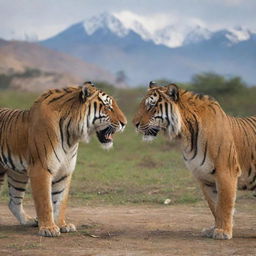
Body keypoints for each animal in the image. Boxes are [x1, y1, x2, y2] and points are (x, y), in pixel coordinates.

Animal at [0, 81, 127, 236]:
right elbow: (45, 202)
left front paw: (62, 225)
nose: (125, 123)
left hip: (17, 174)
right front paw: (48, 228)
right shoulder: (41, 169)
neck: (71, 136)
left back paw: (28, 220)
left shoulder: (65, 171)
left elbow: (60, 201)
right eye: (108, 107)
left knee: (14, 201)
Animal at [133, 81, 256, 240]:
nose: (134, 123)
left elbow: (224, 204)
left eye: (151, 106)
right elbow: (214, 206)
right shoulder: (204, 177)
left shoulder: (225, 173)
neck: (185, 136)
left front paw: (223, 232)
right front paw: (214, 229)